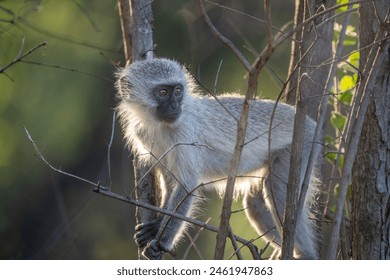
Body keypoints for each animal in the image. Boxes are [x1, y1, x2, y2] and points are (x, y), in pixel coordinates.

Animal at [116, 58, 320, 260]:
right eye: (163, 92)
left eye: (178, 91)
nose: (175, 106)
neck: (159, 126)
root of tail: (309, 122)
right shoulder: (143, 135)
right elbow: (170, 182)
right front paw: (155, 227)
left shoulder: (184, 134)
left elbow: (186, 186)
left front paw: (162, 242)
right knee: (255, 204)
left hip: (302, 144)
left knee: (277, 191)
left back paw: (306, 255)